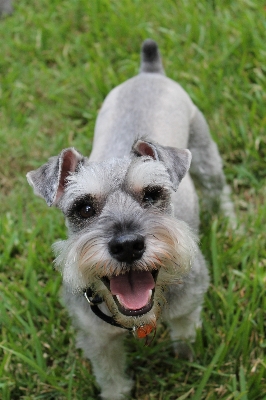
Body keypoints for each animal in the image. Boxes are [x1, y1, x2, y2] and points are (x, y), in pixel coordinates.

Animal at [27, 39, 235, 400]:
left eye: (152, 194)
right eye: (83, 207)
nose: (127, 246)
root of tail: (148, 72)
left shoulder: (188, 306)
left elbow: (185, 337)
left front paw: (189, 364)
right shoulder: (97, 339)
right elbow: (111, 379)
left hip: (205, 154)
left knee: (219, 191)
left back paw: (233, 225)